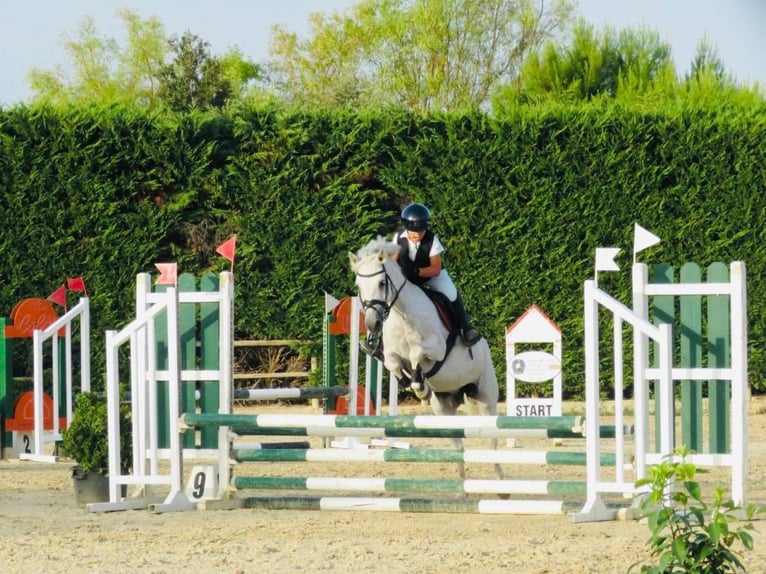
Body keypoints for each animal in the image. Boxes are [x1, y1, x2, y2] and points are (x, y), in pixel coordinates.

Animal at [349, 236, 505, 482]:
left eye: (382, 283)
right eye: (358, 286)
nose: (372, 323)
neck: (402, 314)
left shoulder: (437, 349)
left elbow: (417, 354)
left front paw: (419, 386)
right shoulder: (391, 353)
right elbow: (393, 362)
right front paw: (410, 382)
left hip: (485, 397)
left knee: (492, 440)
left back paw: (499, 478)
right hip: (442, 408)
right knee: (458, 445)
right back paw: (461, 484)